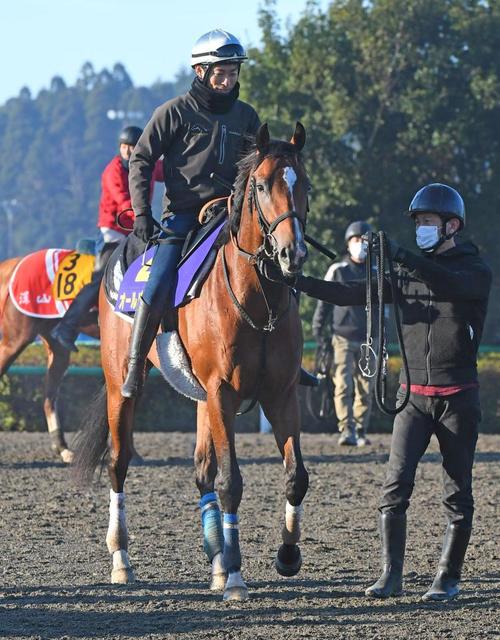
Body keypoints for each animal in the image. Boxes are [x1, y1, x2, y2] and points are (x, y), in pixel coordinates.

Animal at [73, 122, 311, 601]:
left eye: (305, 185)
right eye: (262, 185)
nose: (292, 255)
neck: (257, 300)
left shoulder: (281, 396)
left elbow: (296, 475)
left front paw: (286, 555)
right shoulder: (222, 393)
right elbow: (231, 481)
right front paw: (236, 577)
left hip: (203, 399)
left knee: (202, 470)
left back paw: (217, 561)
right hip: (121, 388)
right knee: (118, 462)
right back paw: (122, 560)